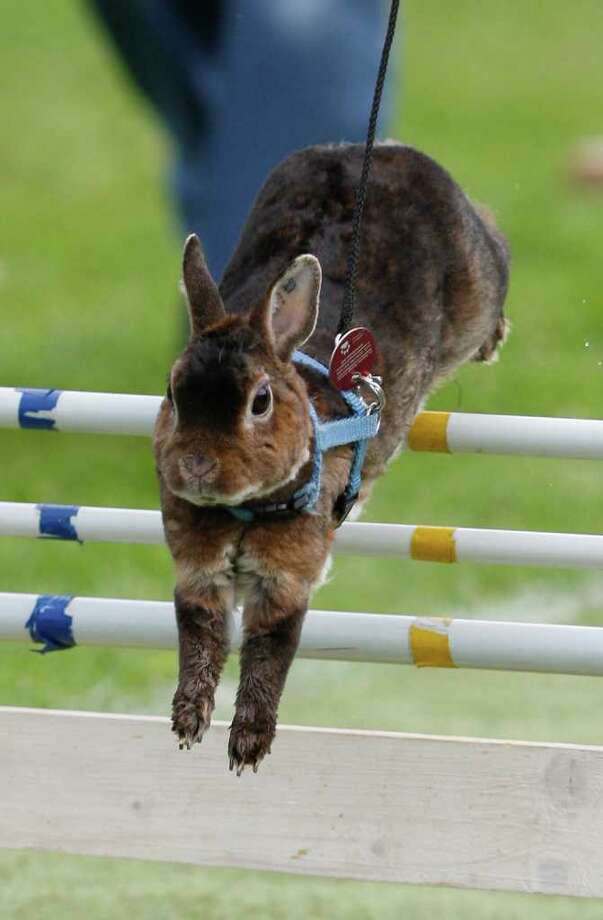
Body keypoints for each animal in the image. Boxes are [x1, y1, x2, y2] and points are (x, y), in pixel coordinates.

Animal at [153, 142, 509, 774]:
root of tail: (380, 151)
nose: (194, 466)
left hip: (477, 285)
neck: (246, 509)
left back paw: (496, 334)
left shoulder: (286, 581)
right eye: (173, 392)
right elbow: (199, 639)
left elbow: (270, 655)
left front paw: (247, 749)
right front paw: (188, 723)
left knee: (499, 248)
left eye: (260, 402)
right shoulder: (199, 574)